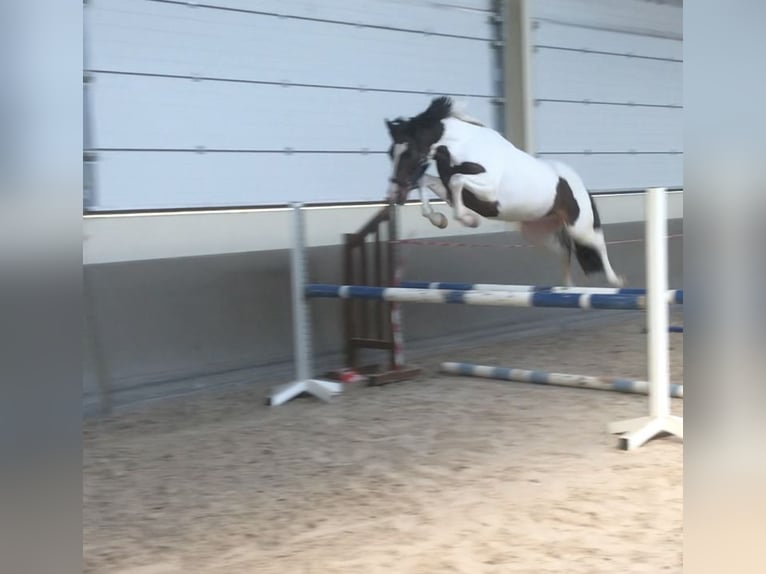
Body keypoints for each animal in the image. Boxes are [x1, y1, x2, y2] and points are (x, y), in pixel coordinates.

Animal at [384, 96, 625, 287]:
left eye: (409, 153)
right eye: (390, 153)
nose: (394, 195)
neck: (463, 146)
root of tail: (582, 186)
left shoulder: (488, 191)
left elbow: (456, 180)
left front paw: (469, 220)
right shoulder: (452, 189)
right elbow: (426, 181)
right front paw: (439, 219)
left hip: (579, 227)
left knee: (598, 244)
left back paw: (616, 280)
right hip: (540, 233)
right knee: (565, 251)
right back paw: (566, 288)